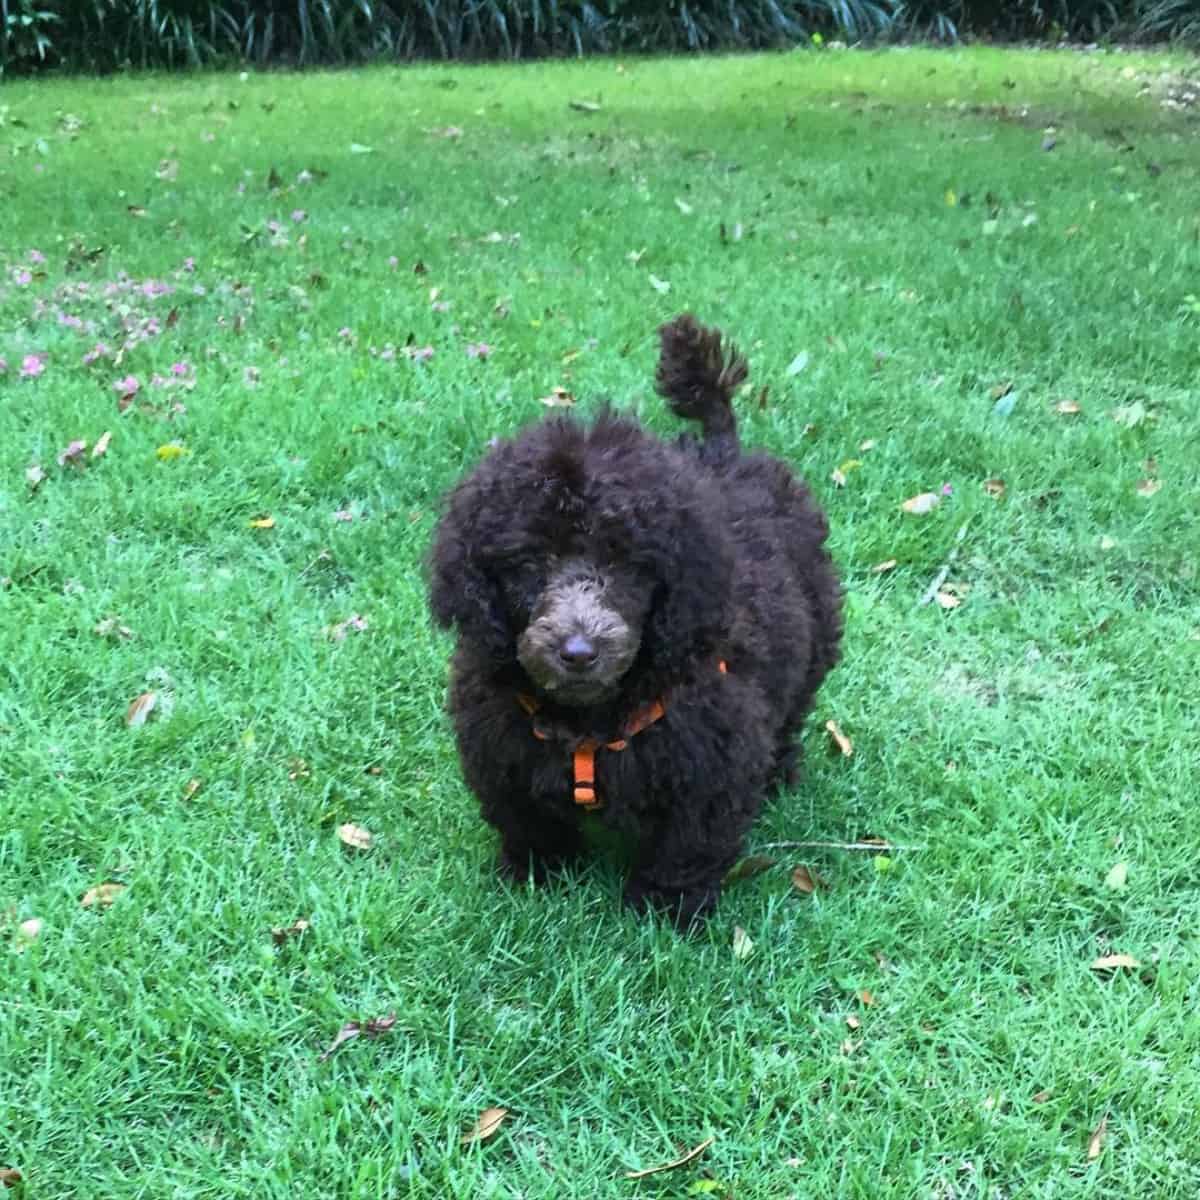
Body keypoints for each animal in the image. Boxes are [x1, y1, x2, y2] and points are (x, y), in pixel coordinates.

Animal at [427, 314, 840, 921]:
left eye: (627, 564)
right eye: (529, 563)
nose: (578, 653)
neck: (588, 720)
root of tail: (723, 451)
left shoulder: (710, 759)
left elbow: (687, 844)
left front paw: (665, 910)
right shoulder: (501, 744)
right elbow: (527, 818)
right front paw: (534, 874)